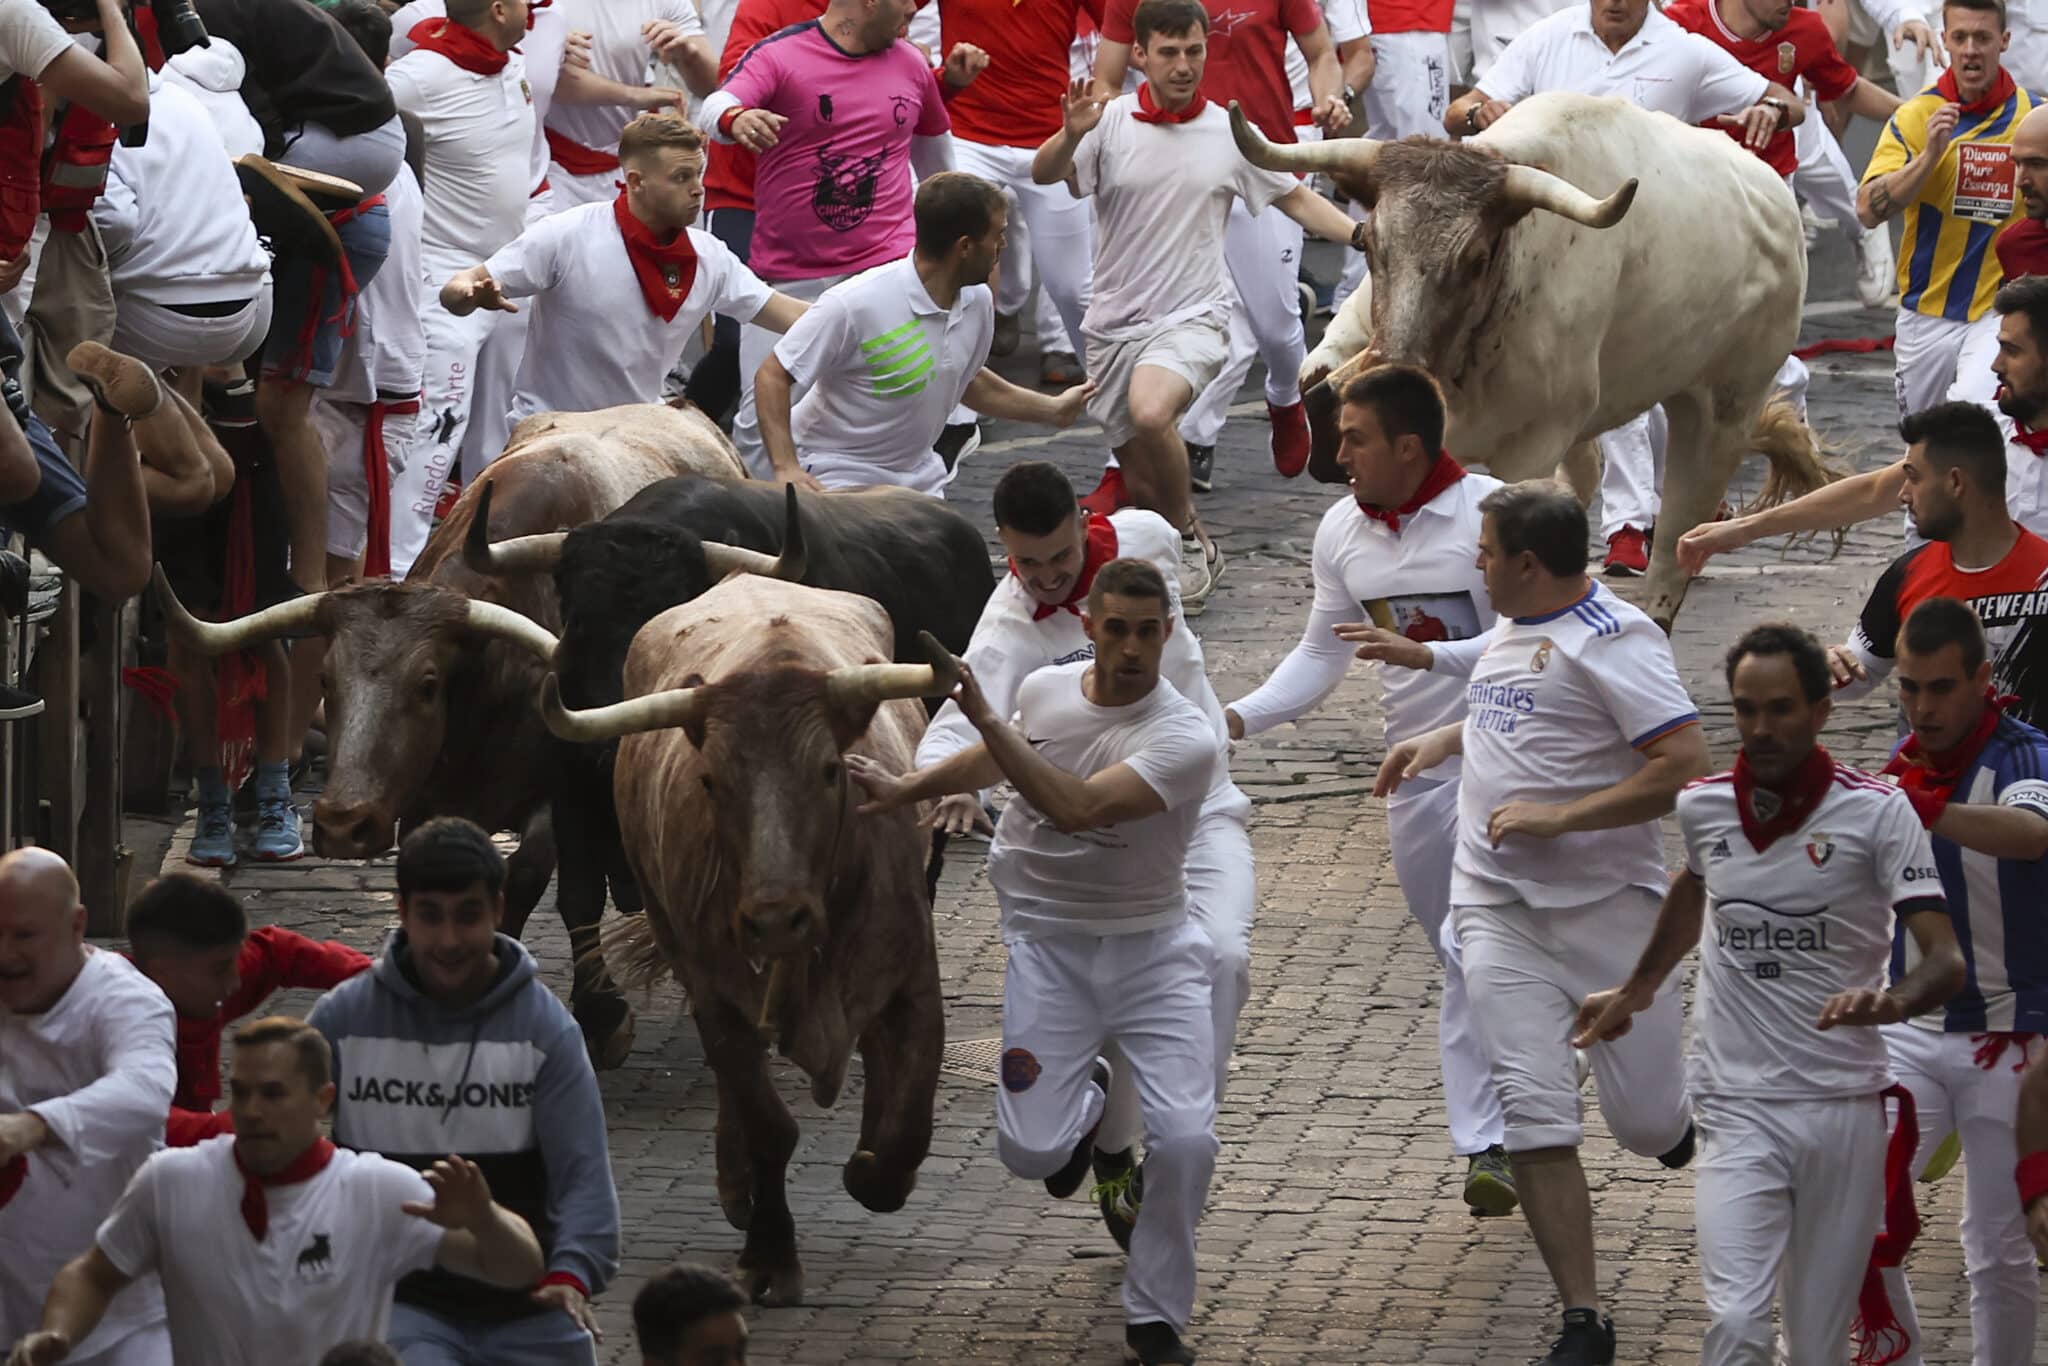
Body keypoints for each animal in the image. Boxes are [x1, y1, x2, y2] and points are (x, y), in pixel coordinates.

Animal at [540, 577, 962, 1302]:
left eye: (830, 770)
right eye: (709, 779)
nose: (774, 918)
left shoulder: (913, 979)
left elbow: (907, 1124)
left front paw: (873, 1168)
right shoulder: (717, 993)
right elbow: (769, 1124)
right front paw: (769, 1252)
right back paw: (736, 1186)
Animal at [1236, 93, 1851, 626]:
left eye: (1476, 258)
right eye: (1366, 240)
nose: (1392, 374)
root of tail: (1774, 198)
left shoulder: (1529, 449)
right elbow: (1315, 376)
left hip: (1721, 414)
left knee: (1676, 545)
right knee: (1589, 473)